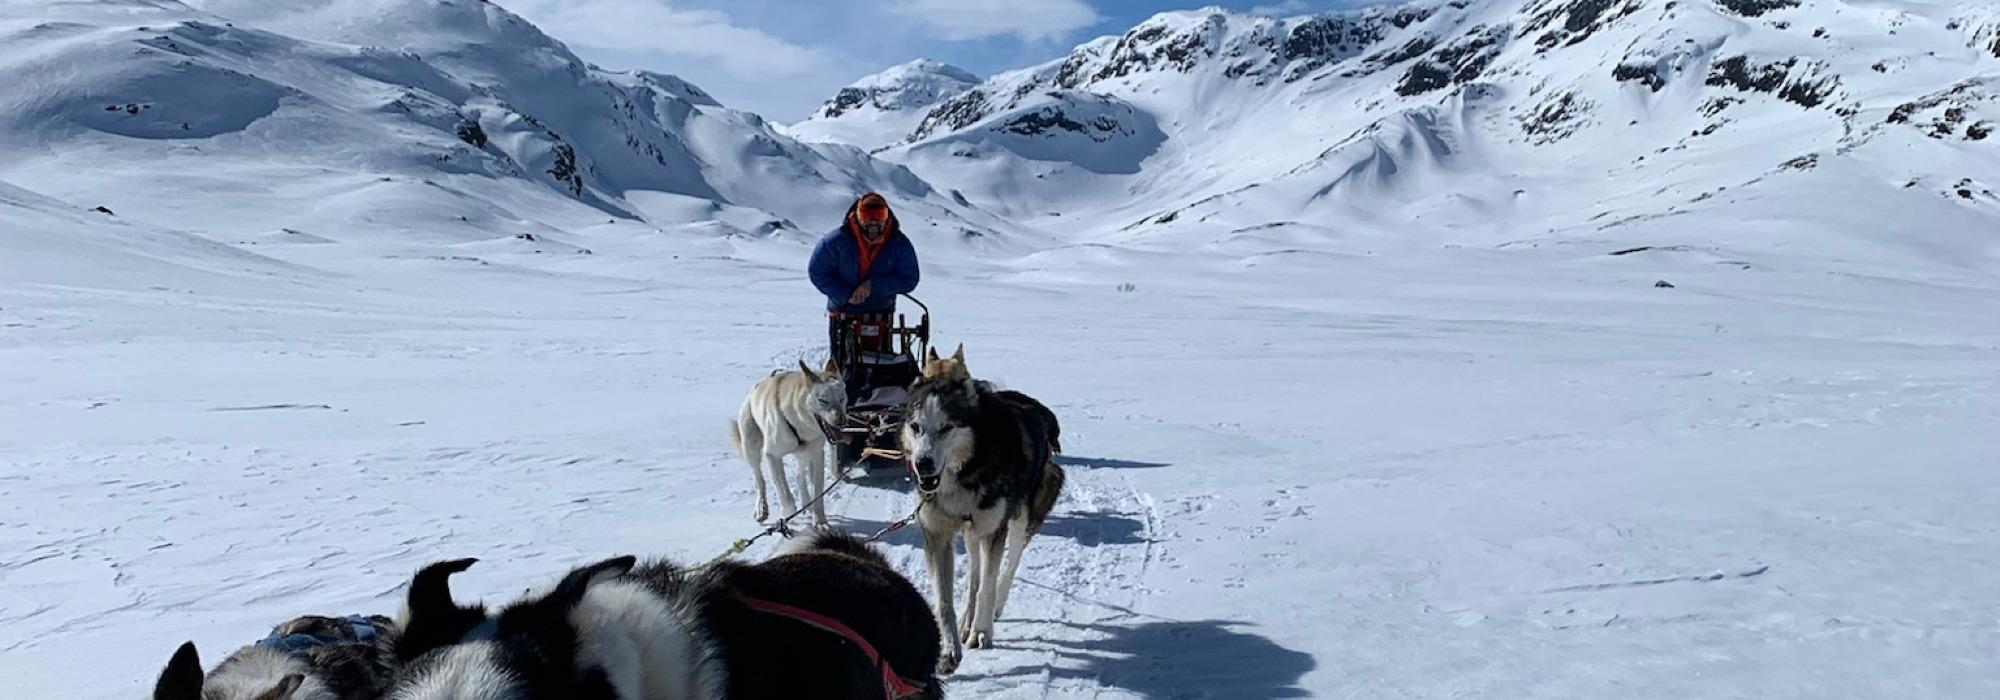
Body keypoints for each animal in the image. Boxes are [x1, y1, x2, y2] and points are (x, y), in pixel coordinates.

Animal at [904, 348, 1064, 676]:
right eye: (916, 427)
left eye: (946, 427)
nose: (922, 463)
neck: (966, 469)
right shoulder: (938, 535)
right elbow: (945, 600)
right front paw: (949, 649)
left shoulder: (993, 530)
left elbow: (987, 586)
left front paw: (981, 631)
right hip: (971, 530)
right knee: (974, 571)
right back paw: (967, 618)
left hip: (1019, 519)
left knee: (1010, 563)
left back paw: (992, 609)